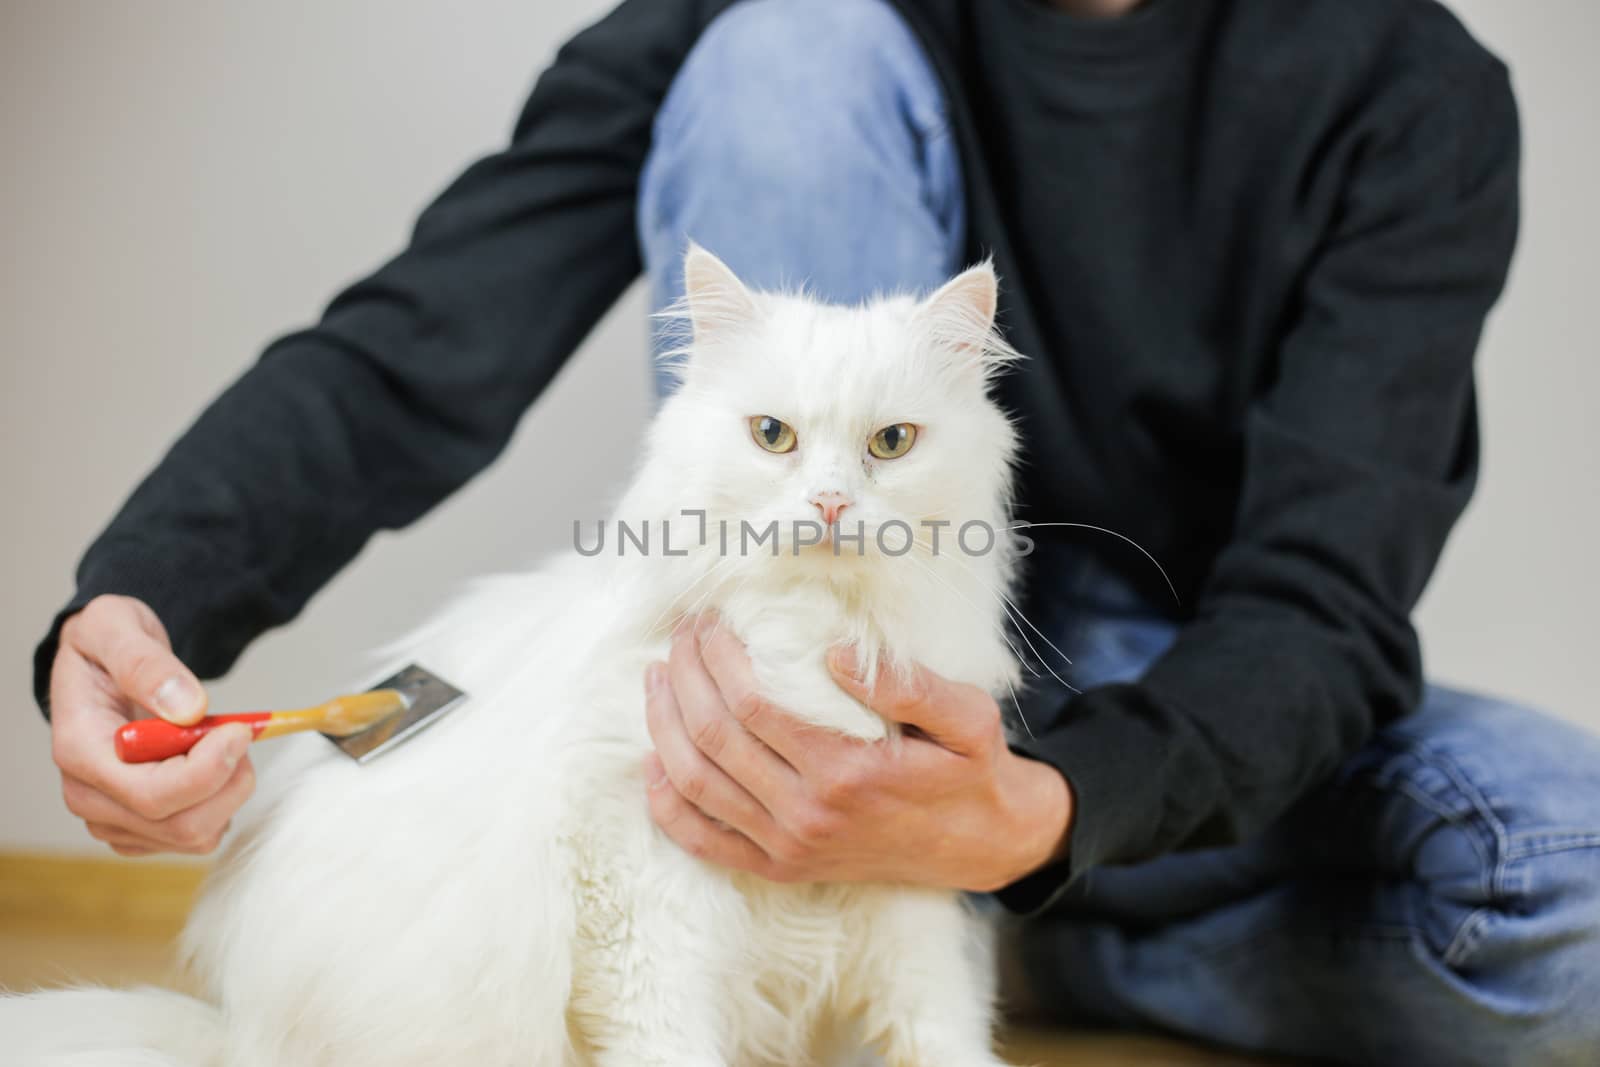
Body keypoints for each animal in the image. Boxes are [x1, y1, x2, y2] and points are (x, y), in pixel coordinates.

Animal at [3, 247, 1024, 1067]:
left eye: (891, 443)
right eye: (773, 436)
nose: (830, 504)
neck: (803, 641)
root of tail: (233, 1036)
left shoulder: (903, 879)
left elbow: (943, 1032)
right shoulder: (638, 892)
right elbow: (669, 1038)